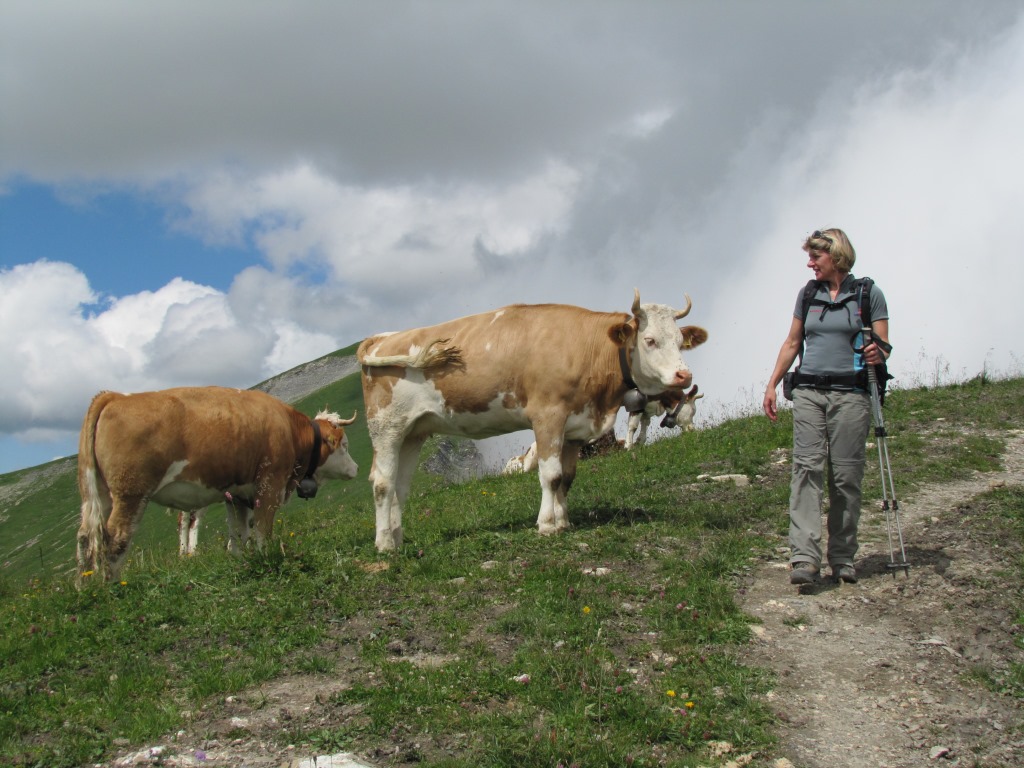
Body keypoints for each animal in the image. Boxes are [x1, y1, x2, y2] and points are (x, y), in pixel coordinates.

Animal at [76, 386, 358, 582]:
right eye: (344, 444)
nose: (356, 468)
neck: (290, 430)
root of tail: (114, 396)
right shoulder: (269, 484)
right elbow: (262, 530)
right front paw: (267, 559)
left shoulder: (238, 493)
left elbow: (238, 532)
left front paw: (242, 560)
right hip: (130, 492)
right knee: (116, 538)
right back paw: (112, 588)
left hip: (99, 494)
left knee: (85, 537)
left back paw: (86, 588)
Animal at [358, 289, 707, 551]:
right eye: (649, 340)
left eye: (680, 341)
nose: (684, 375)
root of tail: (383, 337)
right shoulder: (547, 416)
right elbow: (550, 476)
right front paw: (547, 524)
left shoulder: (575, 427)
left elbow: (567, 477)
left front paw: (565, 521)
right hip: (386, 427)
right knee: (382, 482)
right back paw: (384, 545)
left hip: (413, 431)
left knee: (400, 485)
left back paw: (398, 538)